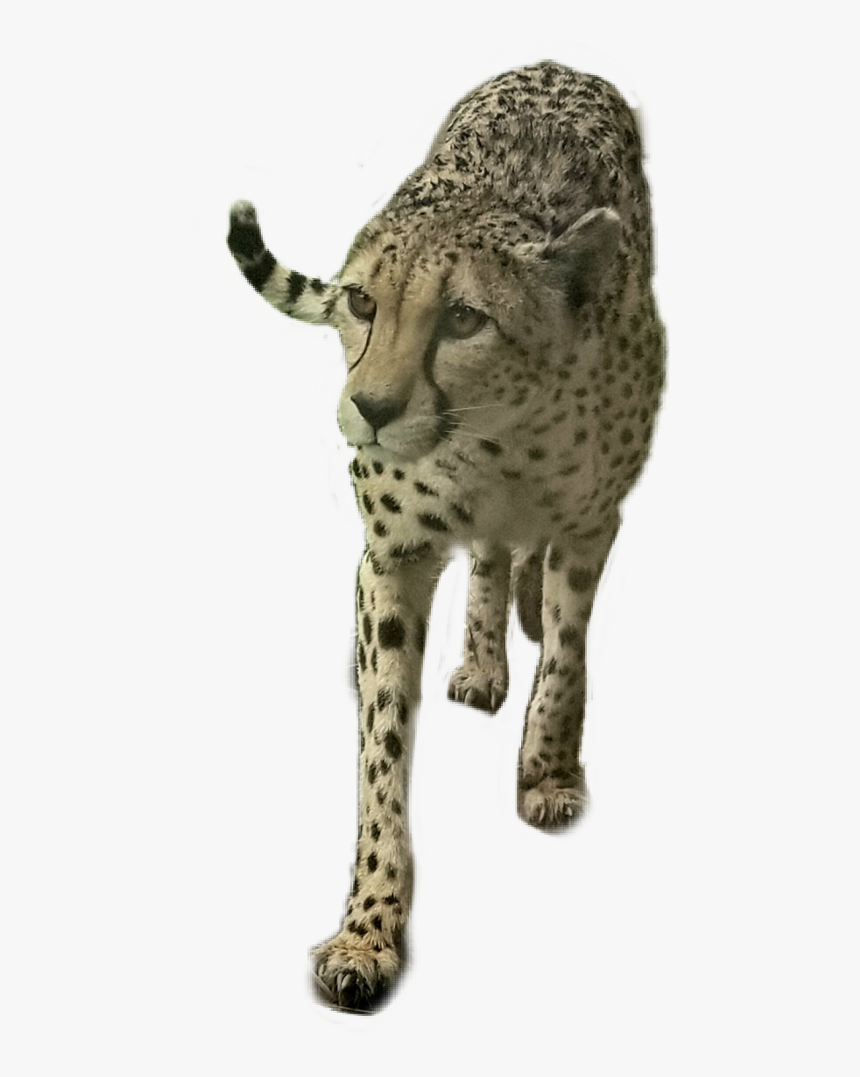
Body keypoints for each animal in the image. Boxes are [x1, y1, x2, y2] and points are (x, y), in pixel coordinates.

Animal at [226, 60, 664, 1013]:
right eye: (362, 302)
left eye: (465, 319)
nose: (371, 409)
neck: (495, 436)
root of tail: (558, 62)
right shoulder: (389, 559)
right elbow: (381, 750)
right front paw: (368, 928)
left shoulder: (591, 523)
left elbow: (567, 655)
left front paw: (548, 772)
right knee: (492, 556)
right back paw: (483, 656)